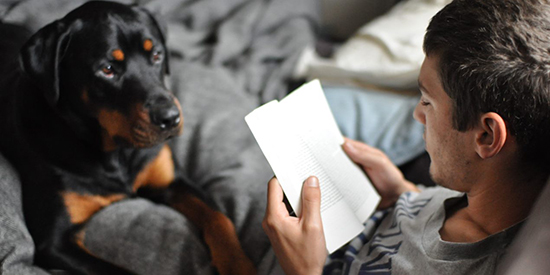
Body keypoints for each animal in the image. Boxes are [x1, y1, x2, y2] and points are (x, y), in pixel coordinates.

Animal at [0, 1, 256, 274]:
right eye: (107, 69)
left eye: (156, 55)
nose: (170, 118)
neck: (117, 153)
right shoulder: (54, 242)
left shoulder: (171, 180)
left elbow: (219, 218)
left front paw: (239, 264)